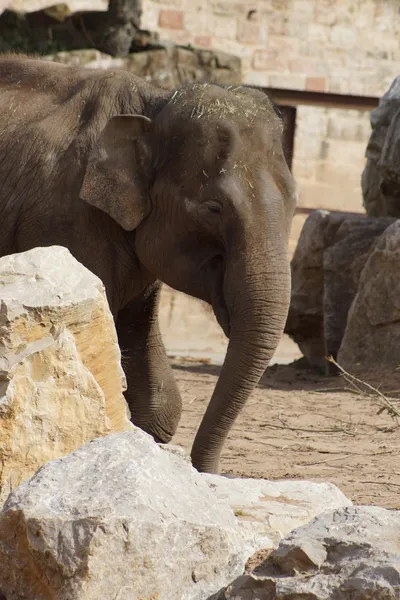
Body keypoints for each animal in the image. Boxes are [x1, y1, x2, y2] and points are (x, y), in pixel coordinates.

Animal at [0, 55, 296, 474]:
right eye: (214, 208)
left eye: (294, 202)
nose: (208, 471)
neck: (153, 103)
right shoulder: (62, 225)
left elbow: (160, 401)